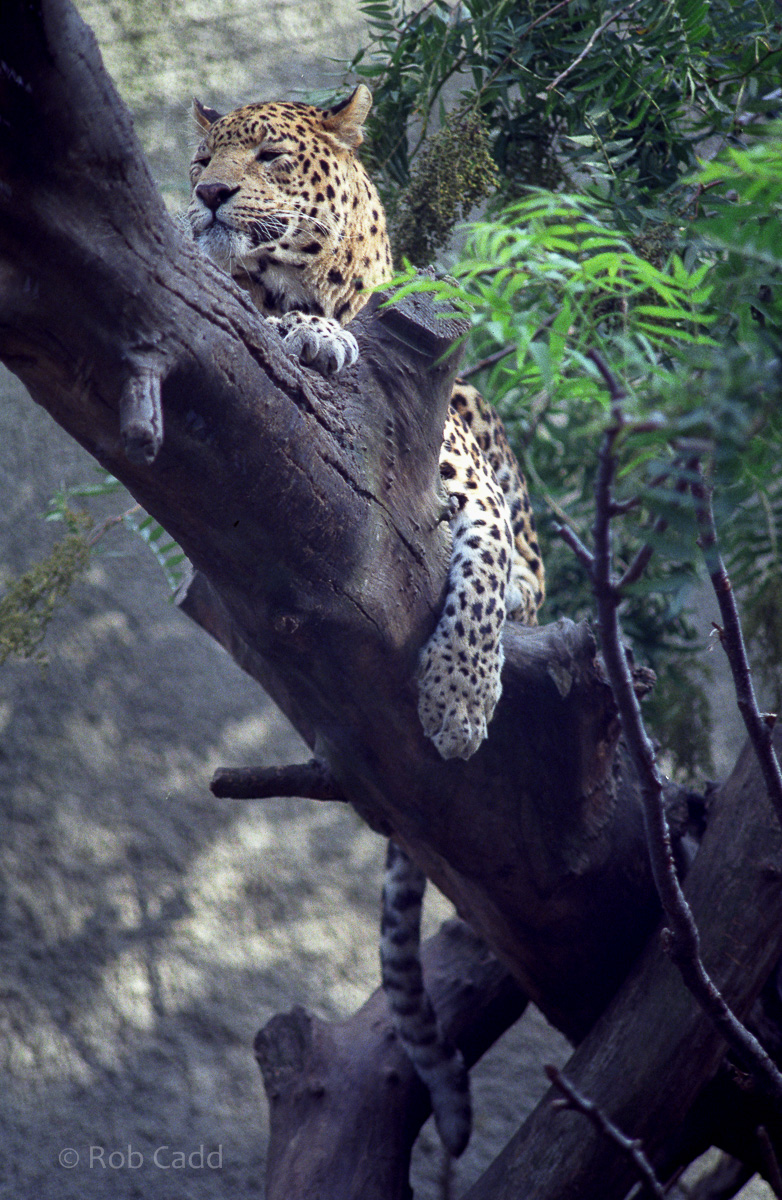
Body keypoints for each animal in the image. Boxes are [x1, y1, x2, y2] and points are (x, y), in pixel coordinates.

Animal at [187, 83, 545, 1156]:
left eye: (267, 157)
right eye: (201, 161)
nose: (210, 197)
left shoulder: (470, 493)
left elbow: (482, 580)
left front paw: (459, 707)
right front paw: (311, 338)